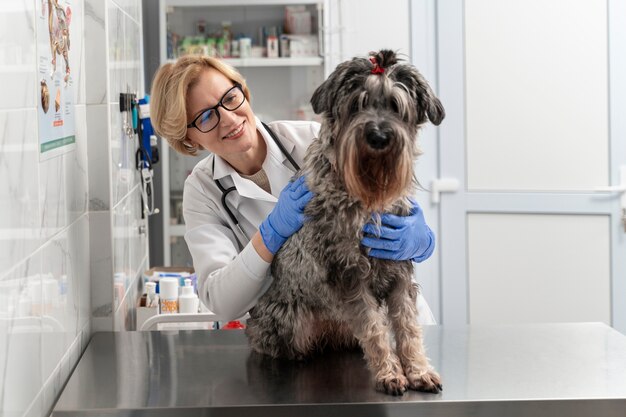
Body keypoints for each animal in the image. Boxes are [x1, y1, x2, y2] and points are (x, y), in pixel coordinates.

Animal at [245, 48, 444, 394]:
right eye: (357, 104)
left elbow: (408, 328)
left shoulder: (399, 270)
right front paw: (390, 373)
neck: (368, 193)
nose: (378, 136)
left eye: (395, 106)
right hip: (289, 322)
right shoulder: (349, 274)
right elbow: (374, 329)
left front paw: (419, 370)